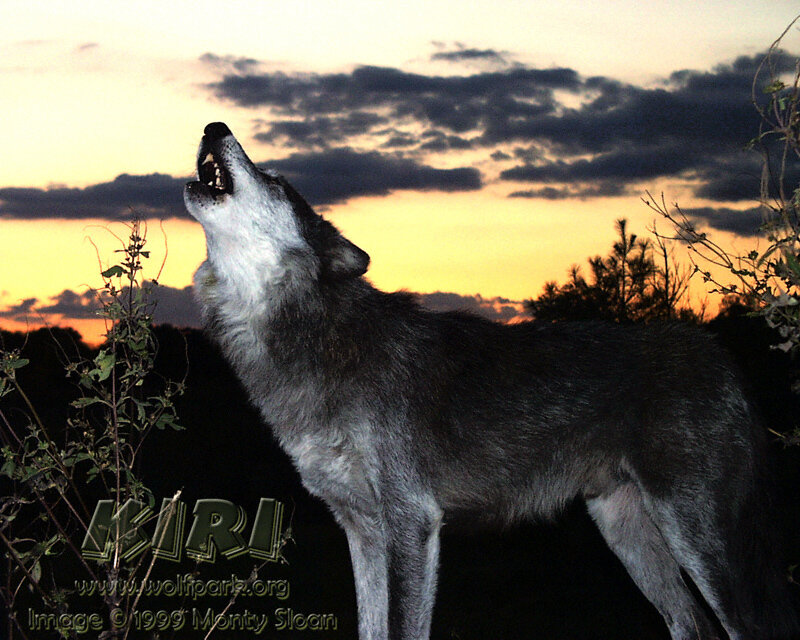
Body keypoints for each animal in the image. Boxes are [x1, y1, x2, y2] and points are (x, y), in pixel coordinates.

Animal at [184, 122, 797, 640]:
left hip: (697, 541)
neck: (317, 338)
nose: (214, 127)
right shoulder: (362, 530)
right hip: (629, 534)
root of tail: (718, 354)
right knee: (692, 626)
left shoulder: (411, 523)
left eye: (277, 182)